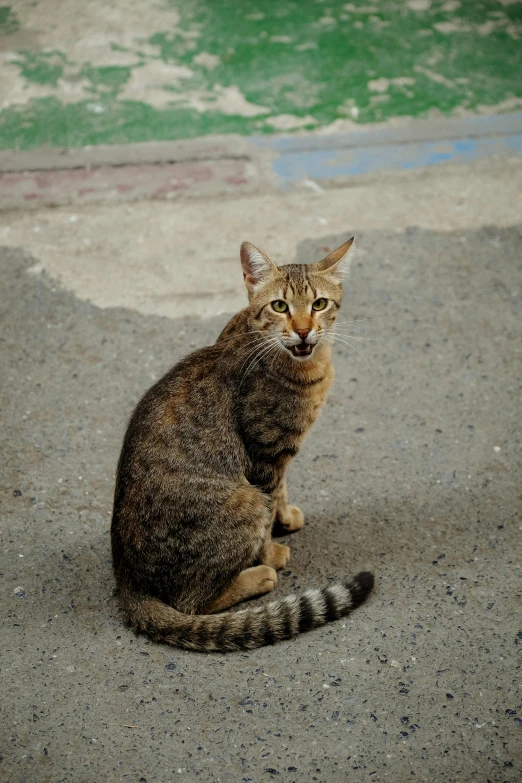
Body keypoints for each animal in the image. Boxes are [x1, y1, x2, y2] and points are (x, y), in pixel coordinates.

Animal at [109, 236, 372, 652]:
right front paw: (270, 550)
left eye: (319, 304)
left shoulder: (277, 457)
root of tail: (128, 583)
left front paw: (285, 517)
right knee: (192, 603)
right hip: (243, 499)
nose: (303, 331)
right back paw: (257, 575)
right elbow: (271, 499)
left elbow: (282, 490)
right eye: (280, 306)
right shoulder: (264, 454)